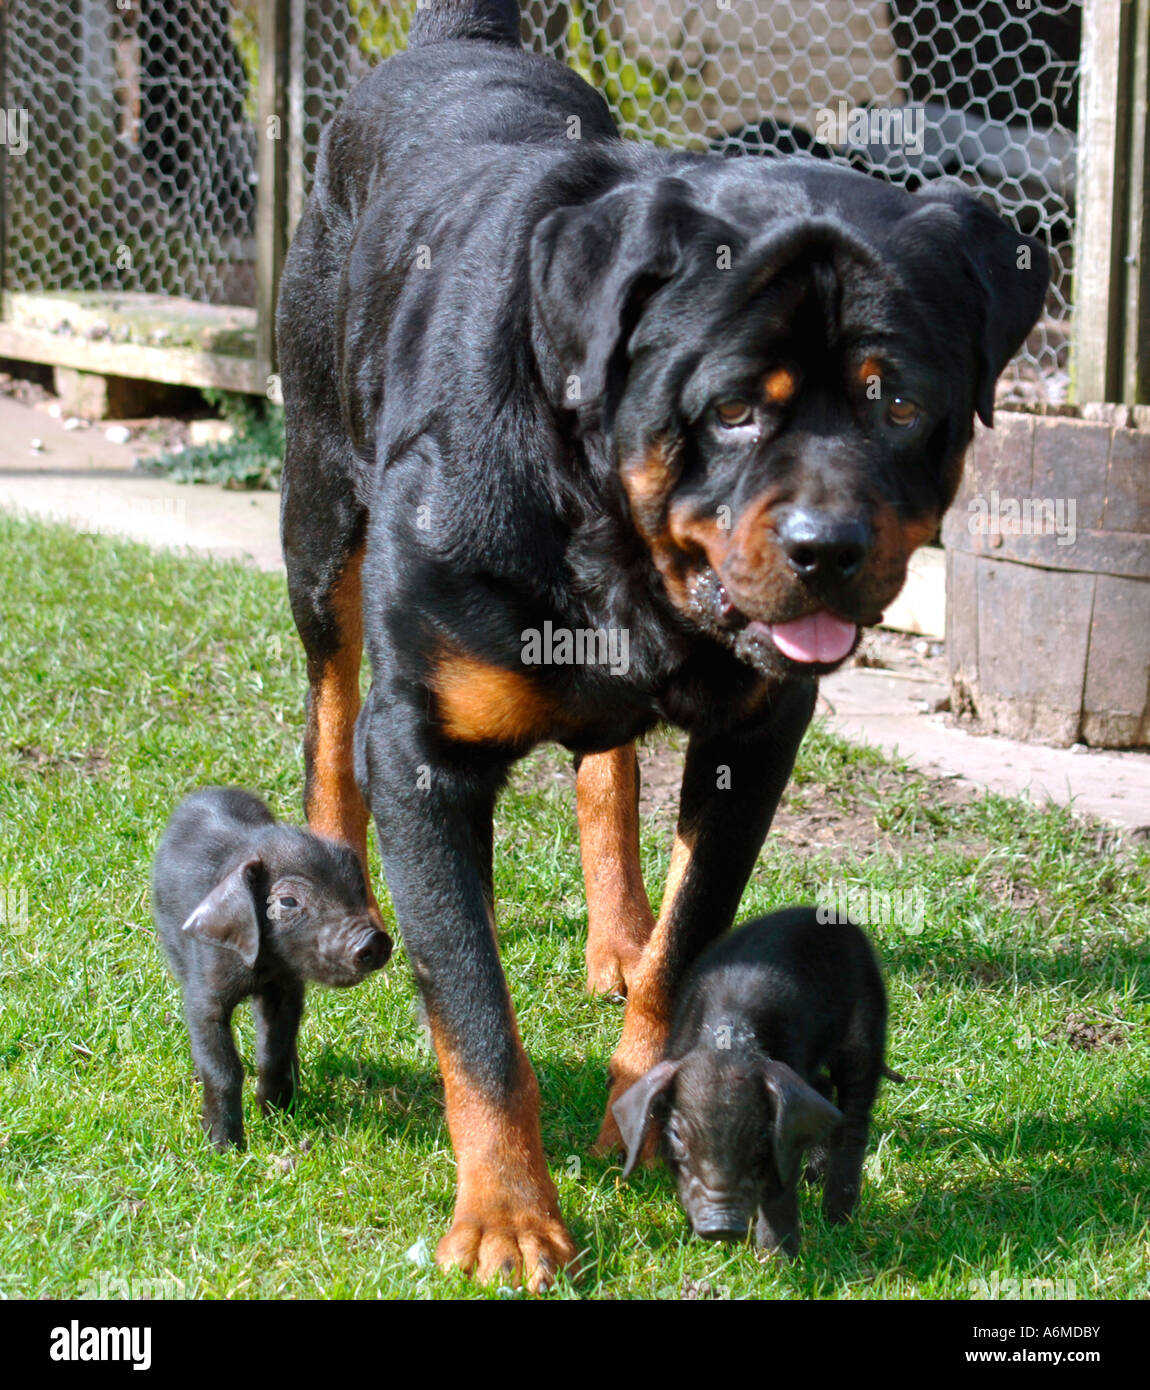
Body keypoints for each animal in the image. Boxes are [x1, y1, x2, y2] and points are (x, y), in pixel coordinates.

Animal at [273, 0, 1045, 1289]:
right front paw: (508, 1217)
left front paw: (648, 1088)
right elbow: (474, 1010)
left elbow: (692, 932)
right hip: (319, 511)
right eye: (729, 408)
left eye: (895, 401)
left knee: (610, 767)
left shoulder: (756, 740)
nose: (826, 545)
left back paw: (616, 933)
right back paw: (336, 867)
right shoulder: (425, 751)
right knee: (329, 706)